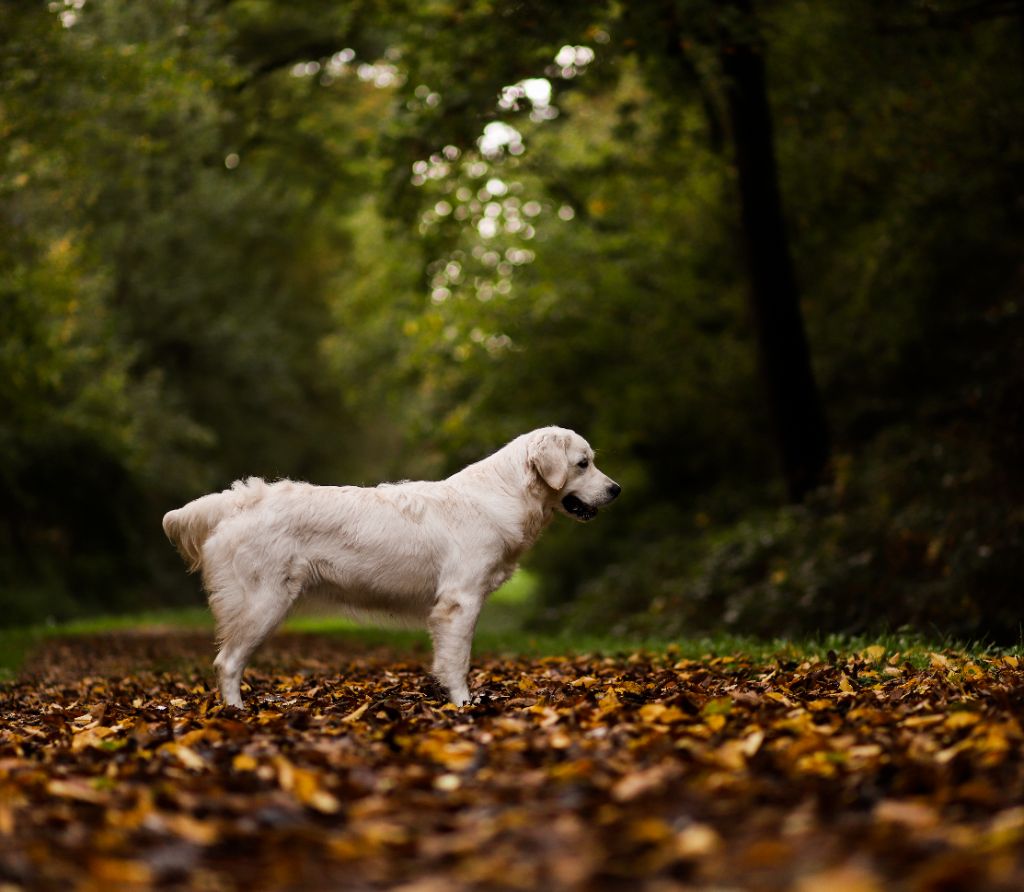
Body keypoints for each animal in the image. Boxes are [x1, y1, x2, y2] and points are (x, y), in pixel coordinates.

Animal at [163, 428, 618, 708]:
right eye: (582, 463)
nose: (616, 489)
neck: (502, 495)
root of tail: (238, 501)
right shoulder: (460, 602)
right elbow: (458, 661)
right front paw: (464, 706)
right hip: (263, 604)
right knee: (227, 663)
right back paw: (237, 713)